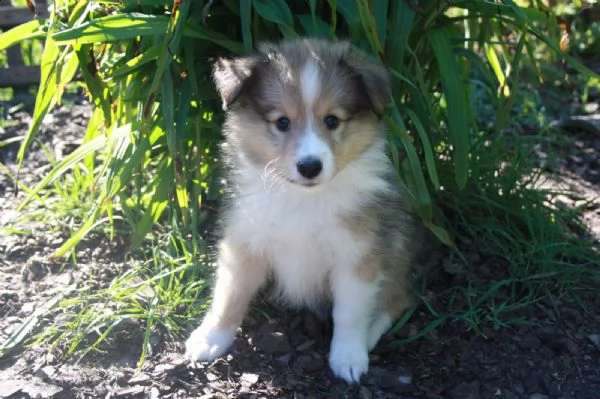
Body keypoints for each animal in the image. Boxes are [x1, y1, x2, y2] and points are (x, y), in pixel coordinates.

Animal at [184, 38, 418, 384]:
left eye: (332, 120)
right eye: (282, 122)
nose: (310, 167)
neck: (302, 199)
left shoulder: (357, 255)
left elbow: (350, 314)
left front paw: (348, 356)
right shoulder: (244, 242)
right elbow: (229, 294)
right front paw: (210, 338)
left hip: (396, 249)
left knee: (396, 300)